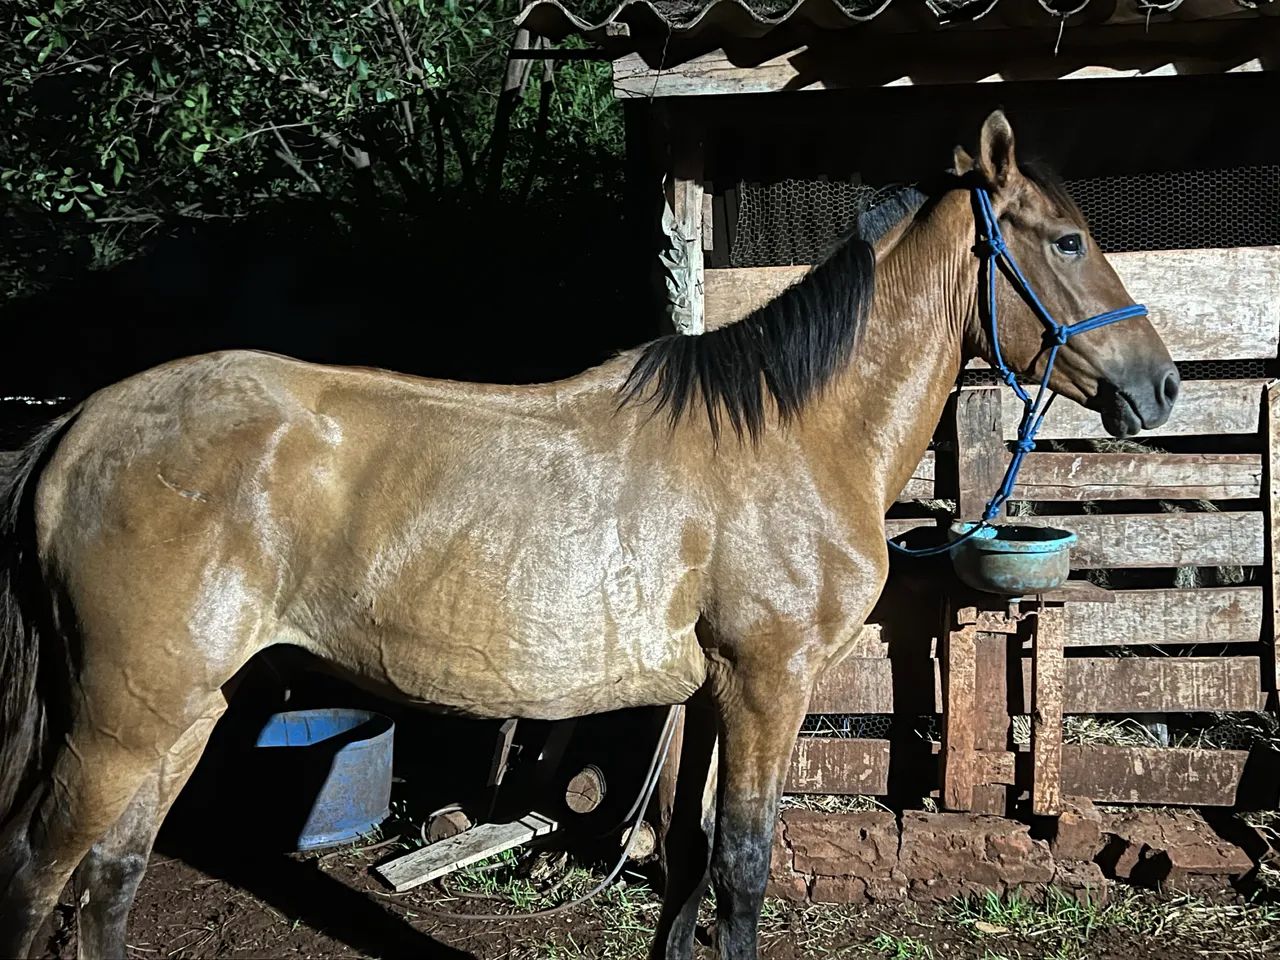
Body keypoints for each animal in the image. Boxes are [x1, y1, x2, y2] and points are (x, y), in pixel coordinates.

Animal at [0, 110, 1177, 959]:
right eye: (1069, 240)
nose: (1160, 386)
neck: (792, 436)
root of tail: (75, 429)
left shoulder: (705, 697)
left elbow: (688, 859)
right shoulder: (767, 689)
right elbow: (741, 871)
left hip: (182, 713)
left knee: (108, 884)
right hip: (119, 723)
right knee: (35, 876)